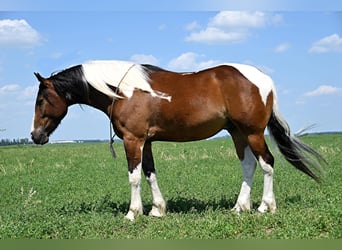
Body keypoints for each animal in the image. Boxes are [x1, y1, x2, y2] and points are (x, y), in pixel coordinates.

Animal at [30, 60, 326, 221]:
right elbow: (150, 174)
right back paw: (240, 207)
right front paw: (157, 210)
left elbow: (134, 177)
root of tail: (262, 79)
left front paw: (132, 213)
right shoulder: (146, 142)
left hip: (252, 132)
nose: (35, 135)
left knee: (267, 163)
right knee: (249, 166)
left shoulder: (133, 140)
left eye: (42, 99)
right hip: (238, 133)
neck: (124, 91)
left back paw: (266, 206)